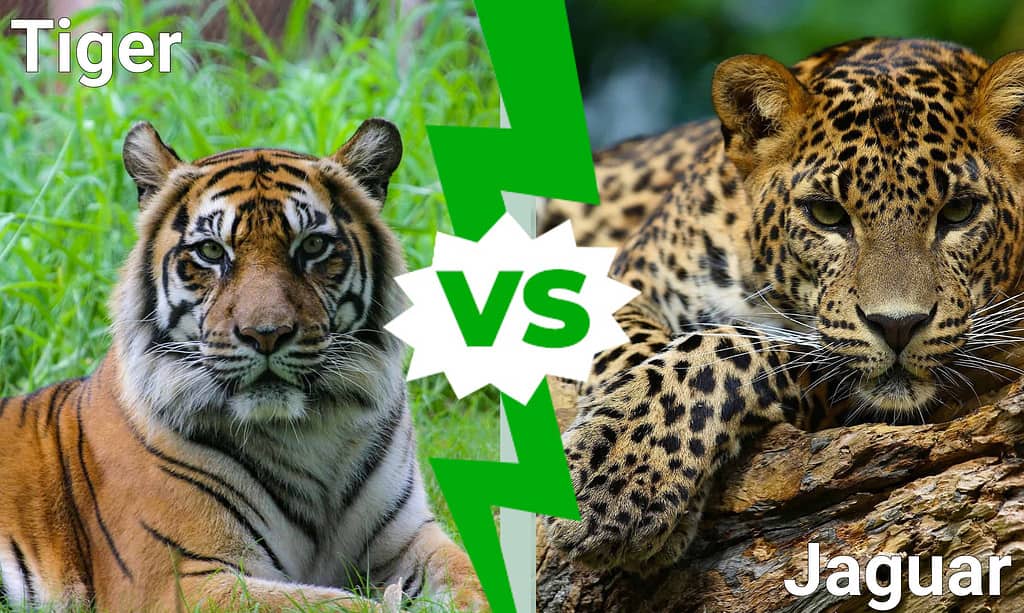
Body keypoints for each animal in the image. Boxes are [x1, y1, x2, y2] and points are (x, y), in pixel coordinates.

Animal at [0, 119, 486, 611]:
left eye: (313, 245)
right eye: (212, 252)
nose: (265, 333)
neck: (312, 432)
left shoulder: (411, 538)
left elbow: (476, 578)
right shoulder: (178, 580)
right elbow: (336, 603)